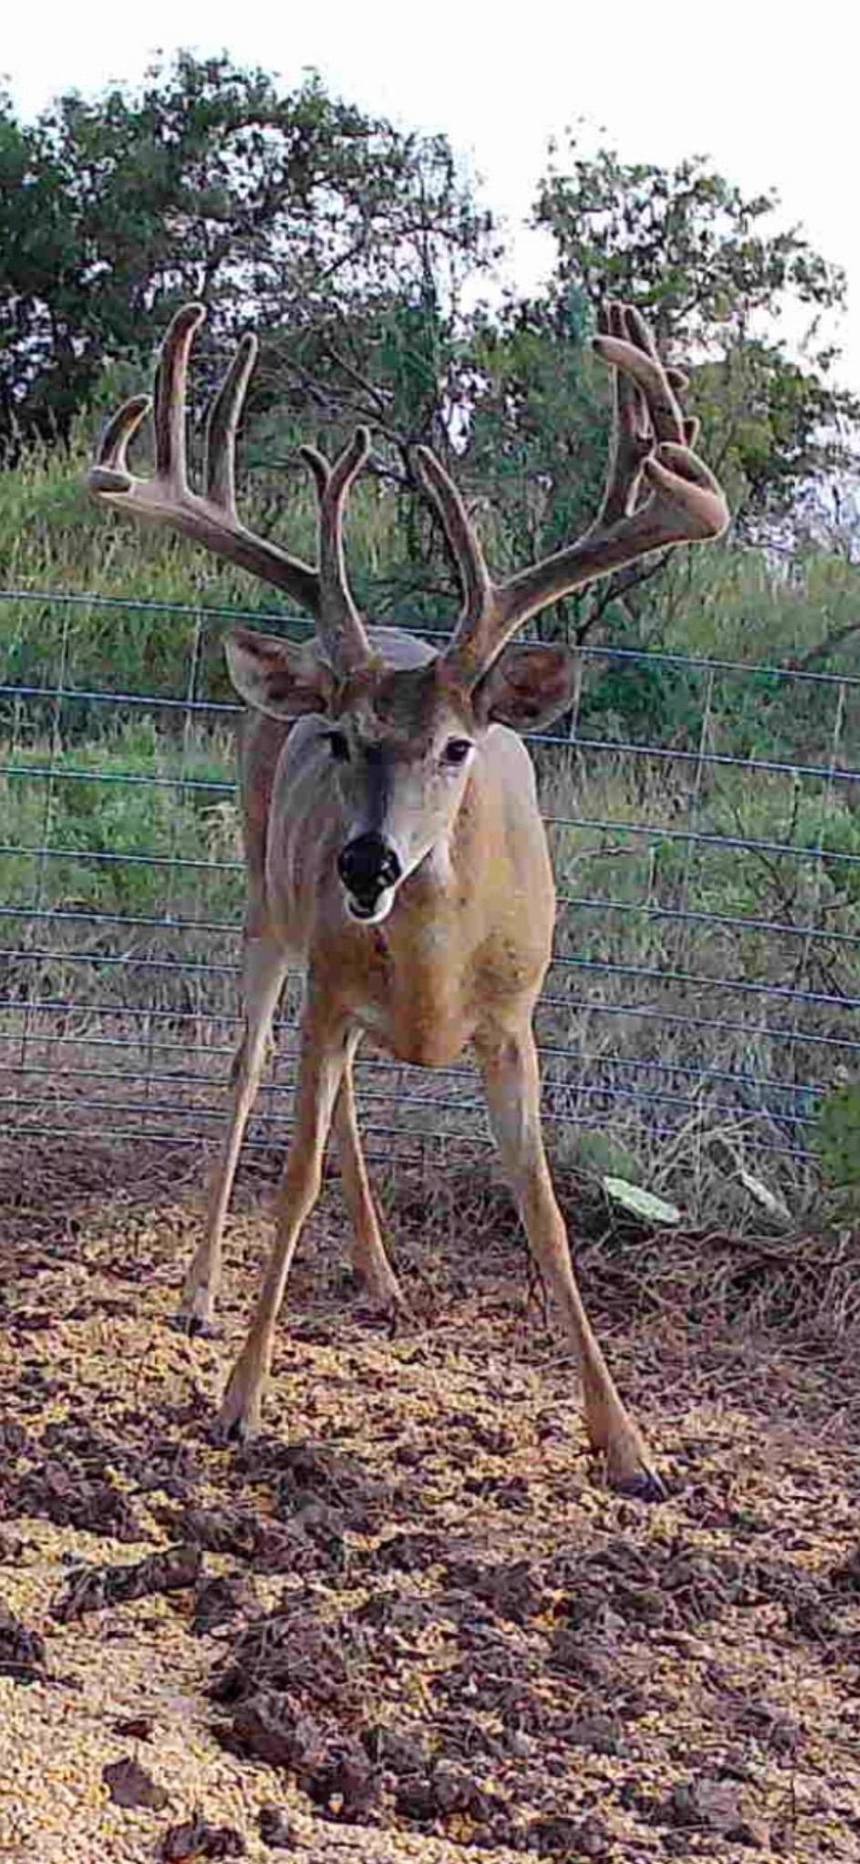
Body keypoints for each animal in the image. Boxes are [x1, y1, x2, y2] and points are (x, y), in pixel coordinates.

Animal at [88, 299, 728, 1497]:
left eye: (456, 746)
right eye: (343, 738)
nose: (366, 865)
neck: (435, 970)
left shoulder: (515, 1020)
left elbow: (547, 1215)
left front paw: (629, 1448)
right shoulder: (330, 991)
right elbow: (290, 1178)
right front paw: (239, 1400)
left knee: (344, 1105)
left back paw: (380, 1273)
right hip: (265, 910)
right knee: (247, 1073)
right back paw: (200, 1293)